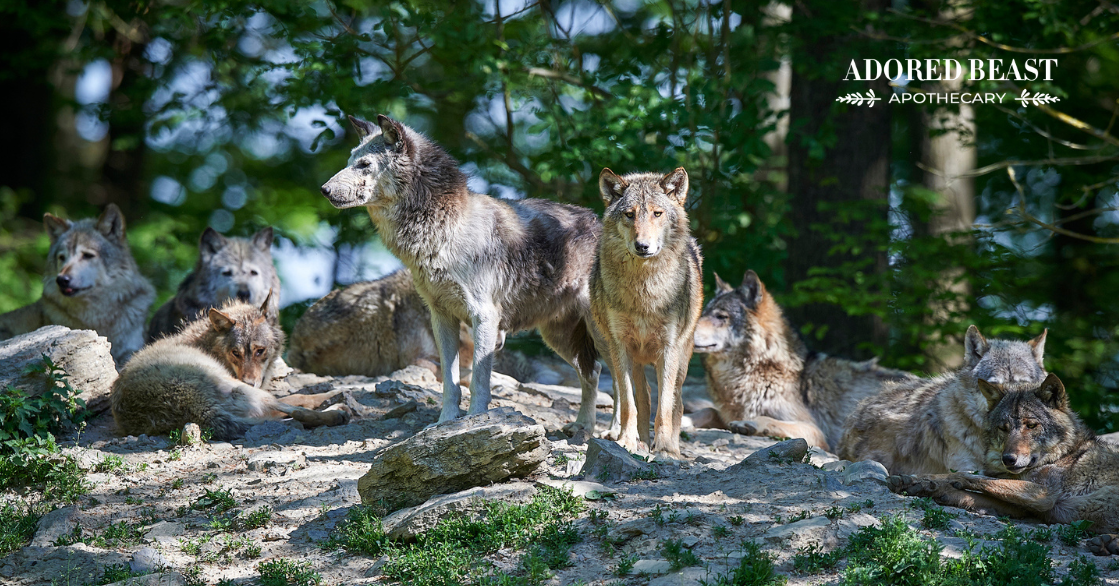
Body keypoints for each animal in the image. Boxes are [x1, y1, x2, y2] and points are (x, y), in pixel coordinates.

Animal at [112, 292, 347, 440]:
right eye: (236, 353)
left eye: (260, 351)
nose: (250, 382)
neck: (209, 346)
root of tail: (198, 410)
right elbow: (299, 397)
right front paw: (332, 394)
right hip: (246, 392)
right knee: (294, 411)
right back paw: (337, 410)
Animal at [320, 115, 603, 429]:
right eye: (350, 161)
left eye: (364, 164)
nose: (324, 190)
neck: (445, 230)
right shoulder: (442, 318)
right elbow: (450, 382)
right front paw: (446, 421)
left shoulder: (484, 317)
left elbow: (479, 379)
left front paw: (476, 419)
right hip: (559, 338)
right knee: (593, 373)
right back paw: (584, 428)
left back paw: (618, 433)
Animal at [590, 168, 703, 458]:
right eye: (629, 214)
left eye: (657, 214)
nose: (642, 246)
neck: (644, 294)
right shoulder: (620, 346)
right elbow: (629, 404)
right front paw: (627, 442)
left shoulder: (669, 348)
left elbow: (664, 409)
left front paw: (664, 449)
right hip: (633, 359)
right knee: (645, 396)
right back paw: (640, 441)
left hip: (681, 359)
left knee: (676, 403)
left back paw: (671, 445)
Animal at [692, 270, 918, 451]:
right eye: (704, 314)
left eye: (721, 317)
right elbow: (709, 409)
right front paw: (687, 420)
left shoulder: (815, 430)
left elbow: (770, 420)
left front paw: (751, 424)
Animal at [888, 373, 1119, 556]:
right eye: (1003, 428)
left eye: (1031, 425)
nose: (1008, 459)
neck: (1061, 454)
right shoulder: (1025, 507)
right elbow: (972, 491)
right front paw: (921, 484)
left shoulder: (1043, 495)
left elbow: (966, 475)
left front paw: (928, 481)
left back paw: (1109, 543)